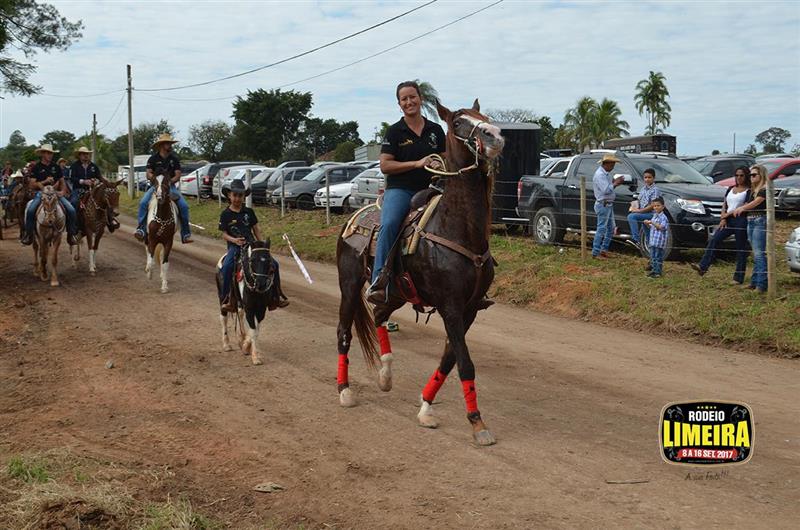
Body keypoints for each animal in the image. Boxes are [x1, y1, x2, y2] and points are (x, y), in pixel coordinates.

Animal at [335, 99, 505, 445]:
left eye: (483, 118)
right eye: (458, 122)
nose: (495, 136)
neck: (457, 229)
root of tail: (353, 218)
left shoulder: (469, 309)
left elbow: (450, 360)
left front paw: (426, 407)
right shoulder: (450, 306)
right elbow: (465, 364)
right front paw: (477, 423)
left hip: (397, 293)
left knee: (379, 314)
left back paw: (386, 374)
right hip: (349, 286)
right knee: (344, 332)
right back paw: (344, 390)